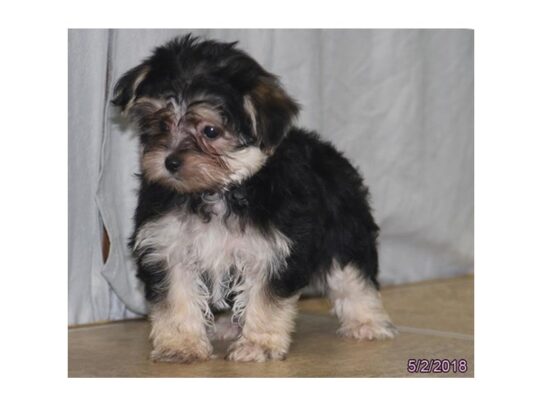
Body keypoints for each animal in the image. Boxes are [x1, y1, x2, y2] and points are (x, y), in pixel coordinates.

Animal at [112, 35, 398, 364]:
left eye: (211, 131)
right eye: (160, 124)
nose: (170, 162)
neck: (217, 190)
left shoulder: (273, 250)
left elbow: (265, 299)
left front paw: (258, 344)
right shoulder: (167, 246)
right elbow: (175, 296)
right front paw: (181, 344)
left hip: (344, 229)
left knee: (352, 274)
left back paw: (367, 321)